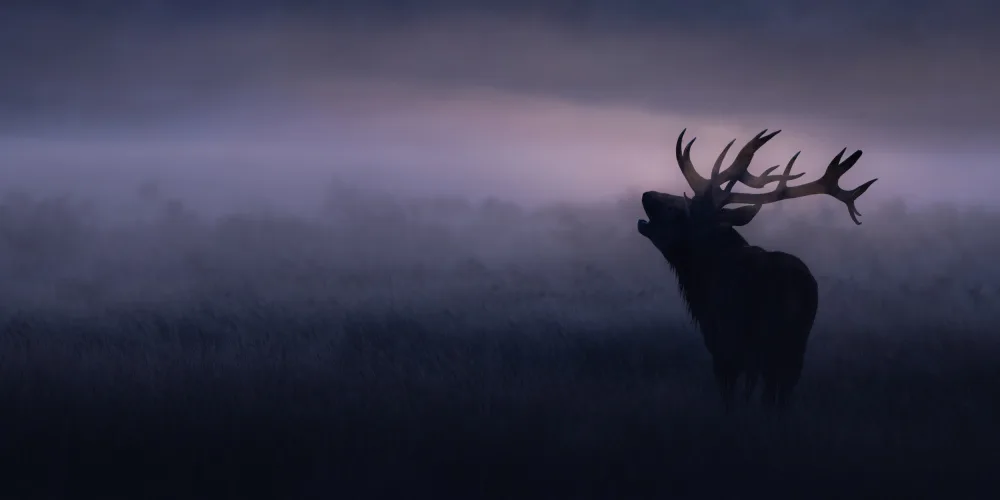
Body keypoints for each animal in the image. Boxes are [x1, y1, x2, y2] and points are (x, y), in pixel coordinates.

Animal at [636, 129, 877, 409]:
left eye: (677, 210)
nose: (647, 194)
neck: (700, 283)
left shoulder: (723, 346)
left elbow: (730, 398)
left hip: (761, 341)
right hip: (794, 346)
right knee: (781, 394)